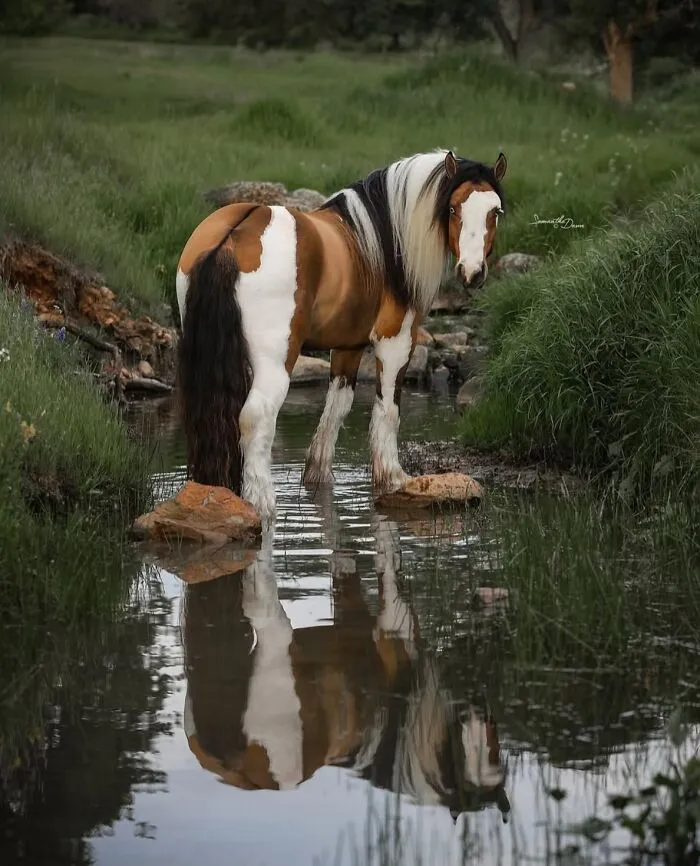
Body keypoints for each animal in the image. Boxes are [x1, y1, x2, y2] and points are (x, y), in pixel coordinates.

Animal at [176, 149, 507, 519]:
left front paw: (318, 478)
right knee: (255, 418)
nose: (473, 273)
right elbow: (387, 409)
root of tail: (235, 233)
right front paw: (393, 478)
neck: (384, 243)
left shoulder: (349, 346)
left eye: (495, 211)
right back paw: (263, 503)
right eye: (452, 208)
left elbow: (336, 408)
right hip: (275, 362)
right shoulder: (396, 341)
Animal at [181, 508, 510, 820]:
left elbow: (343, 556)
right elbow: (388, 559)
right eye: (462, 747)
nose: (480, 706)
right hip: (275, 644)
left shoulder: (350, 609)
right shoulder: (396, 623)